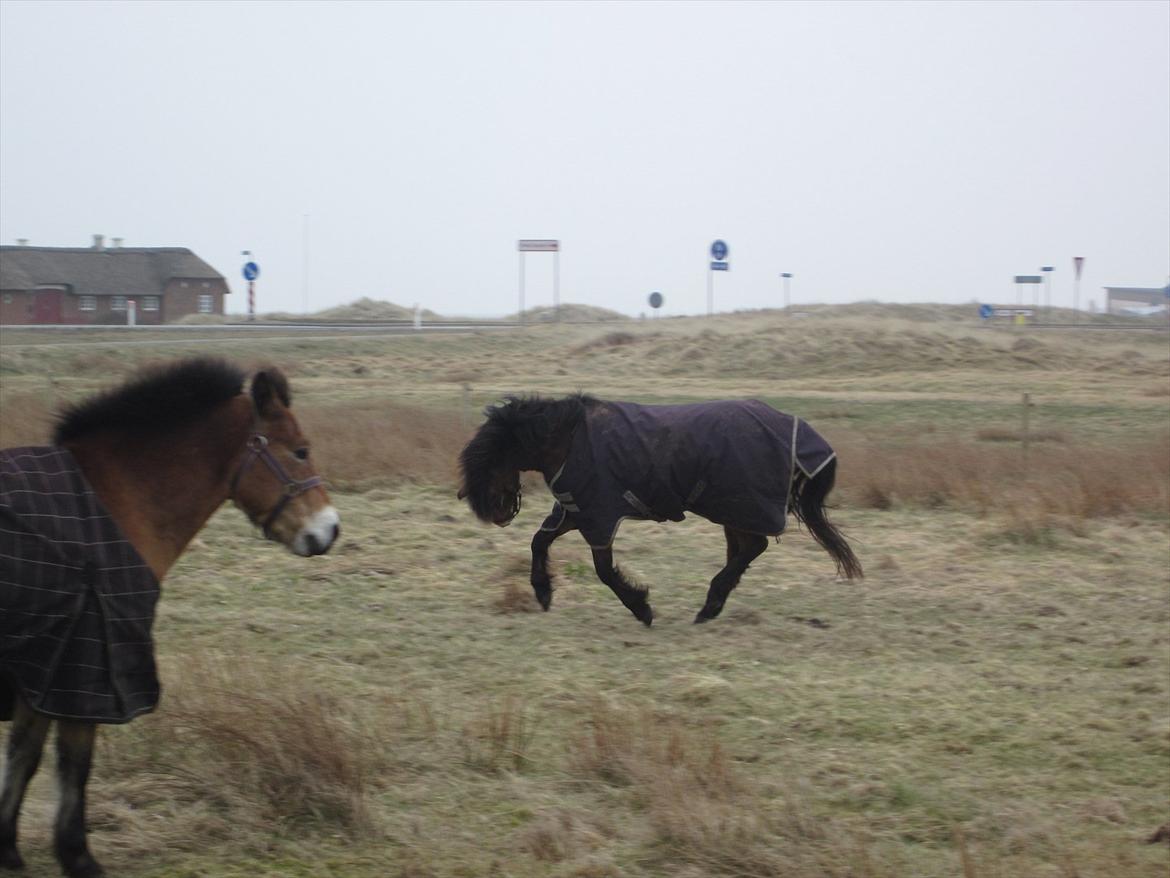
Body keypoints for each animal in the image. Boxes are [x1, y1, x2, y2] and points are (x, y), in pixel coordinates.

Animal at [1, 358, 339, 878]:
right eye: (301, 451)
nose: (329, 530)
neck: (112, 499)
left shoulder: (43, 667)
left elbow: (25, 754)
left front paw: (8, 850)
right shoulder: (87, 668)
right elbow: (74, 760)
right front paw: (78, 857)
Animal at [456, 395, 861, 627]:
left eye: (492, 461)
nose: (498, 512)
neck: (570, 440)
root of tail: (796, 427)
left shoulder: (598, 517)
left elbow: (604, 571)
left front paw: (642, 608)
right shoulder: (575, 509)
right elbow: (539, 541)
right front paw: (543, 592)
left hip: (735, 505)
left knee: (752, 547)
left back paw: (709, 604)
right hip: (730, 509)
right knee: (745, 549)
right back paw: (712, 604)